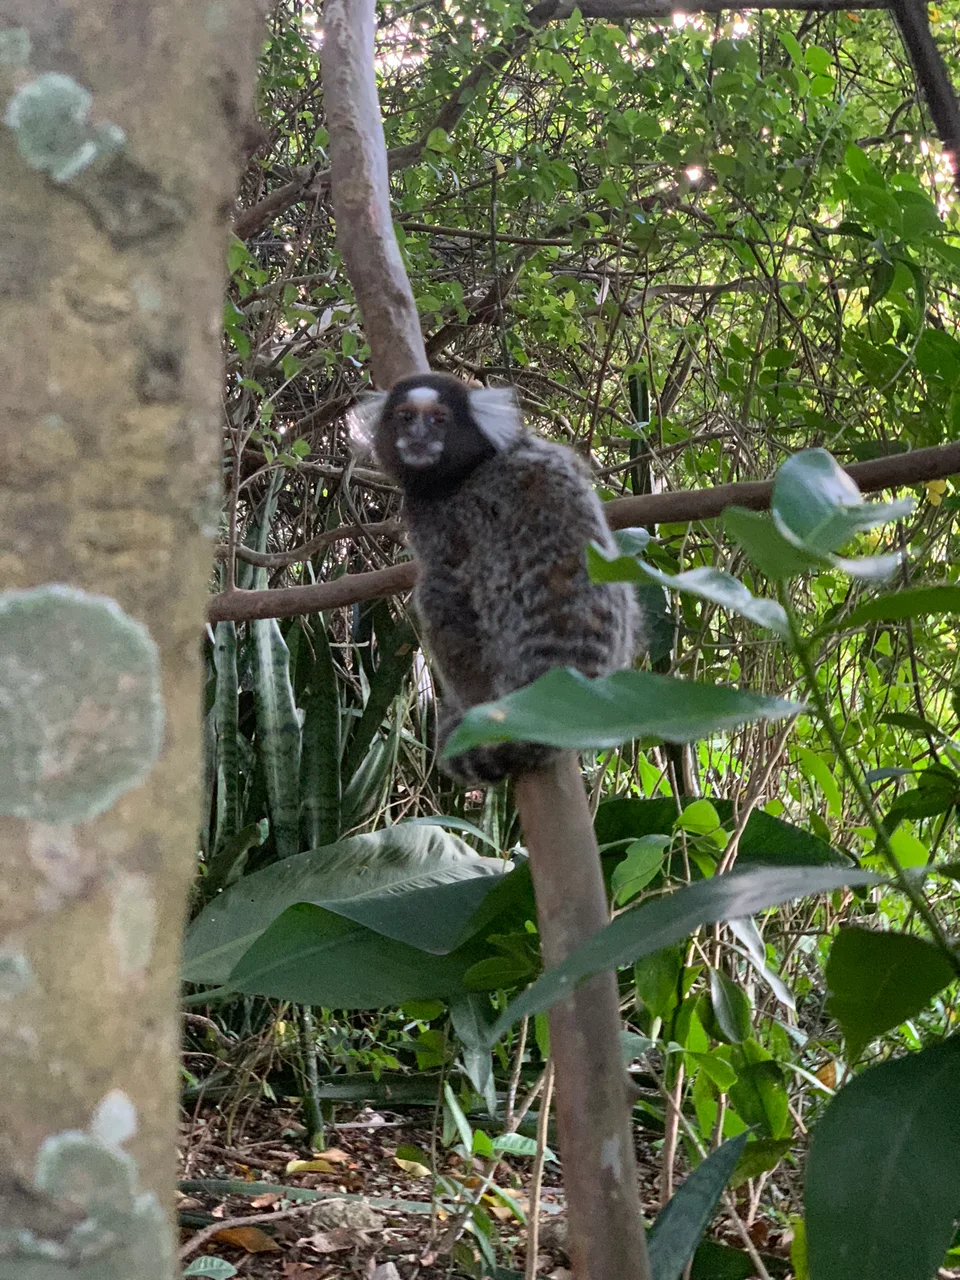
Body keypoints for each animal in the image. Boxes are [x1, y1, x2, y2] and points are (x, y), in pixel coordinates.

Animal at [351, 372, 639, 784]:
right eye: (405, 417)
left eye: (439, 419)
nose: (418, 437)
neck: (472, 465)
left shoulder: (442, 521)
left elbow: (449, 578)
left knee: (436, 598)